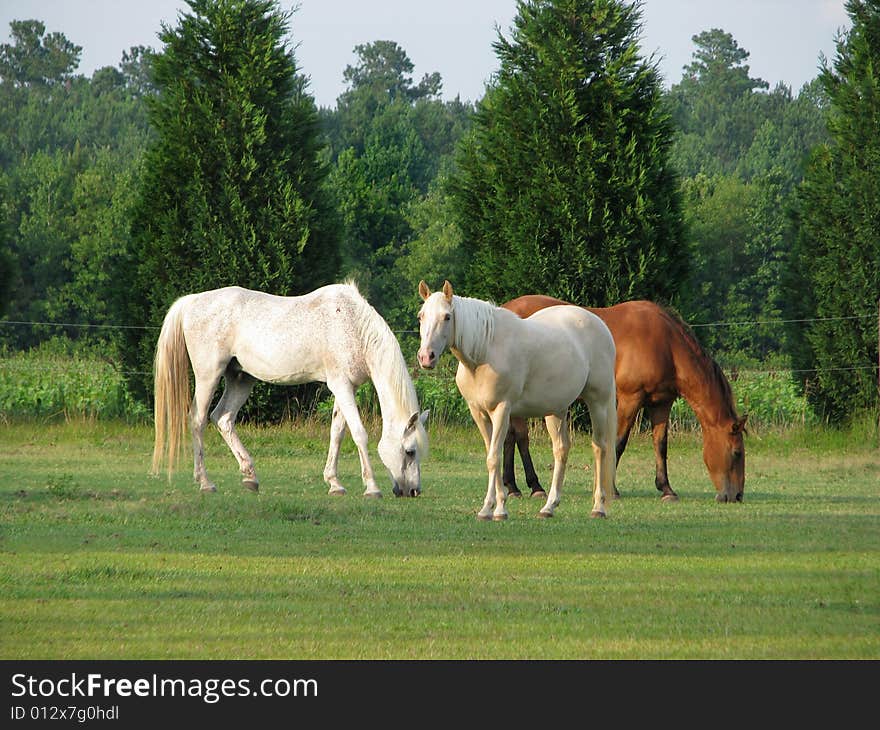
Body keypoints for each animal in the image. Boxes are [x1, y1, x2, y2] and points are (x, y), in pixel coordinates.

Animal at [153, 282, 428, 498]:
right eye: (409, 451)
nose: (413, 491)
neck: (352, 325)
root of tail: (191, 301)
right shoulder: (341, 386)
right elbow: (359, 433)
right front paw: (371, 487)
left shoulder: (345, 387)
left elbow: (337, 433)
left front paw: (334, 483)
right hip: (208, 376)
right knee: (198, 419)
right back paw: (205, 482)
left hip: (241, 378)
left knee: (222, 418)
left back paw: (250, 477)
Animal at [416, 278, 616, 516]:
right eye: (421, 316)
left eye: (447, 316)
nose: (426, 357)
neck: (485, 351)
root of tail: (600, 324)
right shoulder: (478, 413)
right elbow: (492, 455)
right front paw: (490, 508)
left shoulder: (502, 409)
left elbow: (494, 457)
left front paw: (498, 509)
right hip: (556, 410)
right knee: (561, 449)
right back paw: (549, 506)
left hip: (598, 402)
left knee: (600, 447)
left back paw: (598, 506)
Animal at [498, 294, 744, 500]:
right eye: (737, 453)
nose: (736, 496)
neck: (665, 345)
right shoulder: (629, 399)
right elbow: (618, 442)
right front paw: (611, 489)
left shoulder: (661, 403)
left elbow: (660, 444)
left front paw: (666, 489)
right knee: (521, 437)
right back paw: (534, 486)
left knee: (510, 436)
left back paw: (513, 486)